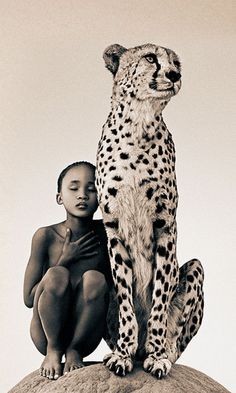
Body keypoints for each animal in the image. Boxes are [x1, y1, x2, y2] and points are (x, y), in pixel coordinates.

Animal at [96, 43, 205, 376]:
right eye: (150, 58)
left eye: (176, 62)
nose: (175, 75)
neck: (138, 125)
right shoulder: (113, 227)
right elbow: (126, 299)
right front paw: (123, 352)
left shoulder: (165, 225)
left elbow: (159, 297)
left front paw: (156, 354)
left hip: (196, 268)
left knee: (178, 341)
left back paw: (160, 350)